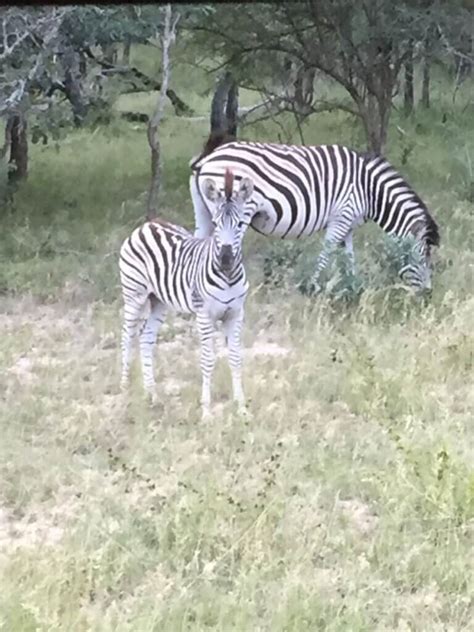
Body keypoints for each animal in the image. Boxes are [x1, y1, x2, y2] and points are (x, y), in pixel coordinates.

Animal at [120, 169, 258, 420]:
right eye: (214, 223)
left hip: (159, 301)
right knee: (127, 335)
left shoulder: (235, 314)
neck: (227, 277)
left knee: (146, 338)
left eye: (241, 224)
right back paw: (124, 390)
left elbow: (236, 358)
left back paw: (152, 395)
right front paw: (207, 412)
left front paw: (242, 408)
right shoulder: (204, 315)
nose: (225, 259)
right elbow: (208, 360)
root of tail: (148, 225)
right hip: (134, 293)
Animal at [190, 135, 440, 292]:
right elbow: (326, 254)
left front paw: (353, 287)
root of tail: (207, 158)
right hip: (233, 213)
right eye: (423, 258)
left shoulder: (348, 224)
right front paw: (313, 287)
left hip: (205, 212)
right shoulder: (341, 217)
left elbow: (348, 257)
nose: (428, 294)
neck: (370, 190)